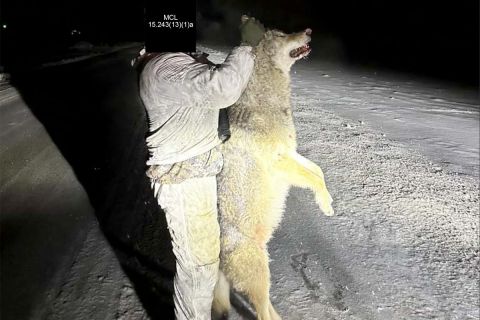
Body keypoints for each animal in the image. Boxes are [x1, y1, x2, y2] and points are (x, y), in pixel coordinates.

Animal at [216, 16, 336, 320]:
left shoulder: (291, 154)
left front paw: (327, 203)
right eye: (282, 35)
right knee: (262, 313)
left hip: (262, 272)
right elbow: (313, 177)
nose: (309, 30)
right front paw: (325, 204)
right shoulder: (279, 161)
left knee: (267, 308)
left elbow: (318, 172)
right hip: (259, 274)